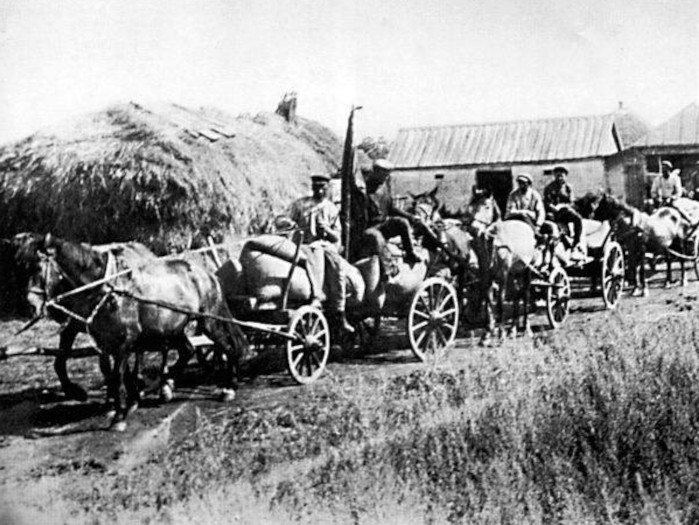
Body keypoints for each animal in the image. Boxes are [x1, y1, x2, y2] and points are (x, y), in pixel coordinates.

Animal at [24, 234, 247, 430]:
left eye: (39, 267)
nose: (31, 306)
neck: (109, 289)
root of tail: (209, 275)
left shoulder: (124, 341)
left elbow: (118, 375)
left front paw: (120, 415)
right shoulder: (102, 340)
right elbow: (106, 371)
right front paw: (119, 403)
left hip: (209, 320)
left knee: (228, 346)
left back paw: (229, 387)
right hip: (174, 327)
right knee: (188, 350)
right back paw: (167, 386)